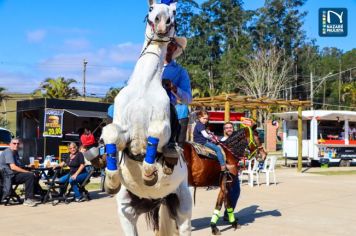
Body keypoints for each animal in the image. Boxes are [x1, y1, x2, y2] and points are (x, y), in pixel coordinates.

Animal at [101, 0, 192, 236]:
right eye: (151, 9)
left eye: (174, 12)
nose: (162, 23)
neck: (144, 86)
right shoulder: (123, 130)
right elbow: (112, 134)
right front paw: (112, 179)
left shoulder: (161, 129)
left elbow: (155, 133)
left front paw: (149, 172)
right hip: (128, 212)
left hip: (183, 207)